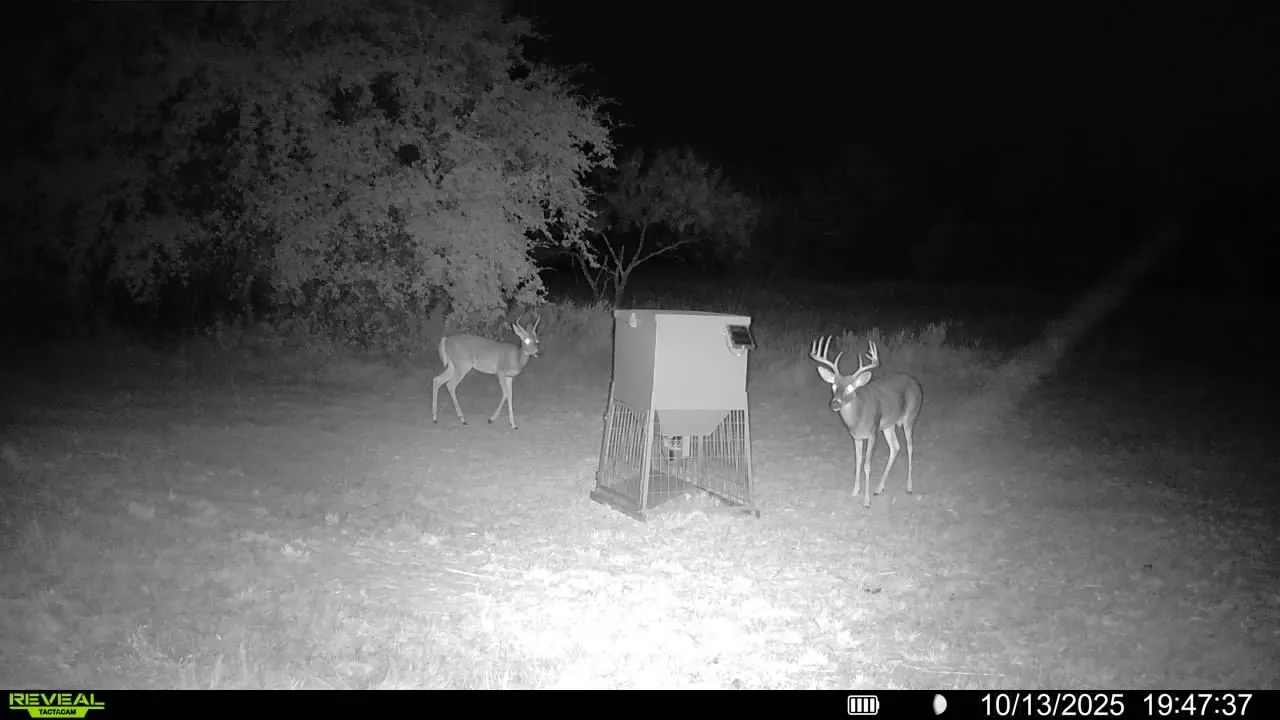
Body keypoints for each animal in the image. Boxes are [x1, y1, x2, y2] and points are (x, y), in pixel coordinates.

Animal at [809, 336, 924, 508]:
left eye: (851, 388)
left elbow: (867, 465)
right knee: (895, 447)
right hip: (888, 425)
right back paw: (879, 488)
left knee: (910, 447)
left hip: (910, 417)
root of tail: (915, 381)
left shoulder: (873, 432)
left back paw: (909, 487)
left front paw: (866, 501)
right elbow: (858, 461)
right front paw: (855, 491)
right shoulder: (856, 436)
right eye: (834, 385)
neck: (858, 416)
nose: (835, 404)